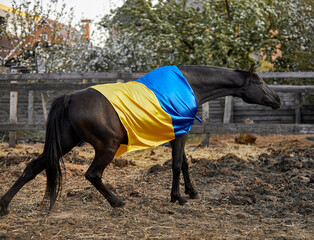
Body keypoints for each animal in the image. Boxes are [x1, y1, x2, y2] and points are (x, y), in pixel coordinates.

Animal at [0, 65, 280, 216]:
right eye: (259, 82)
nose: (277, 100)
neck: (188, 85)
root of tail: (70, 97)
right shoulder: (180, 134)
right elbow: (176, 165)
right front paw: (177, 197)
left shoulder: (177, 134)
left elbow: (185, 164)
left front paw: (191, 192)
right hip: (107, 147)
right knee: (92, 174)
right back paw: (117, 201)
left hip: (66, 142)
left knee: (33, 167)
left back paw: (5, 205)